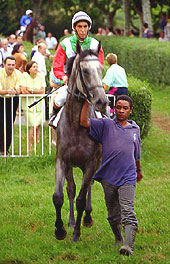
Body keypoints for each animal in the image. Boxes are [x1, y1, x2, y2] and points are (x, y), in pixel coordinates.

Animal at [53, 42, 108, 242]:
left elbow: (81, 199)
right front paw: (60, 229)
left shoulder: (91, 163)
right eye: (84, 70)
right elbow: (59, 196)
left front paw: (77, 232)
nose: (102, 101)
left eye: (101, 69)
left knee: (88, 186)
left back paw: (87, 218)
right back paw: (70, 221)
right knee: (71, 188)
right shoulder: (62, 161)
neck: (76, 127)